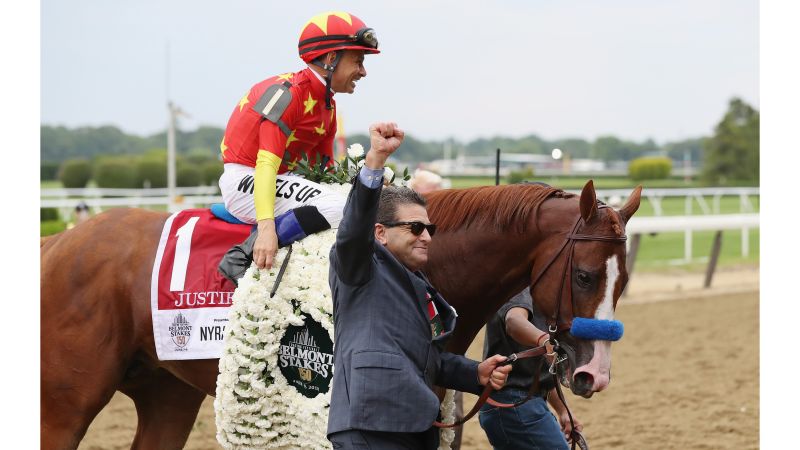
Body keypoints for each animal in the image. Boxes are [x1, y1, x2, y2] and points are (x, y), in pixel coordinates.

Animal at [40, 180, 644, 450]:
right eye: (584, 276)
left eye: (624, 280)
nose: (593, 374)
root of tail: (59, 243)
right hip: (67, 405)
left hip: (166, 394)